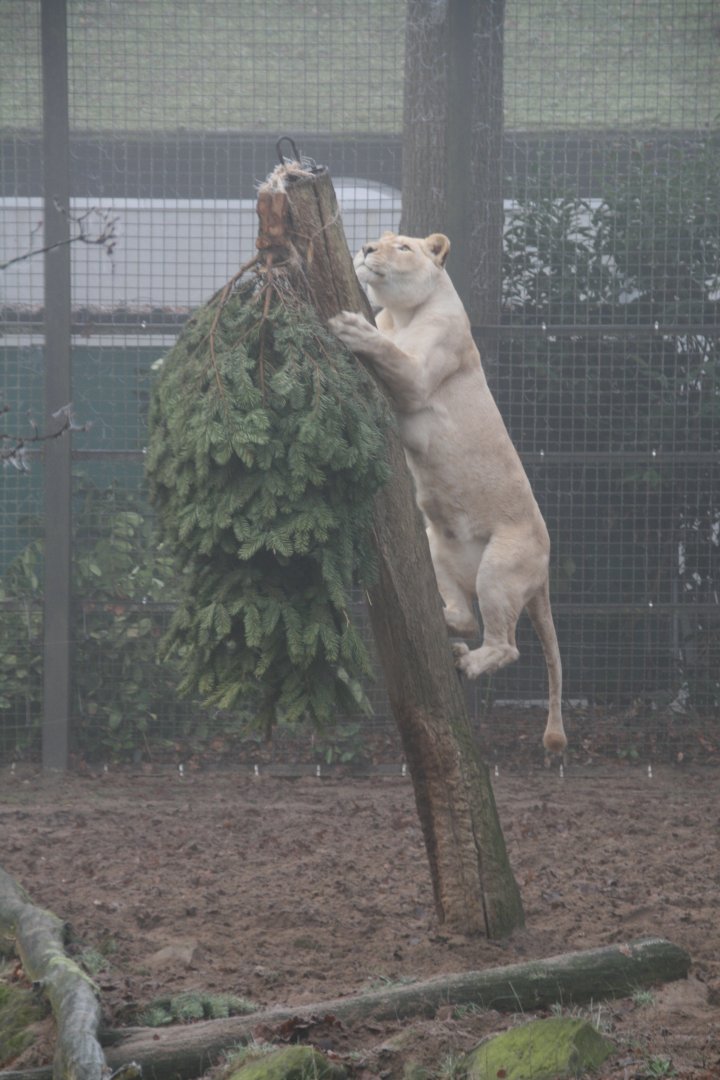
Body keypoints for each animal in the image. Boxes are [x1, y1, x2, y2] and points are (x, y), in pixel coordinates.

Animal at [329, 231, 566, 754]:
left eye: (401, 246)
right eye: (382, 239)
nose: (367, 248)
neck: (401, 313)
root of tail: (545, 566)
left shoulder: (419, 375)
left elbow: (390, 353)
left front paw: (350, 326)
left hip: (502, 568)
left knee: (505, 644)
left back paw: (469, 661)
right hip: (439, 545)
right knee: (467, 617)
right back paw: (445, 622)